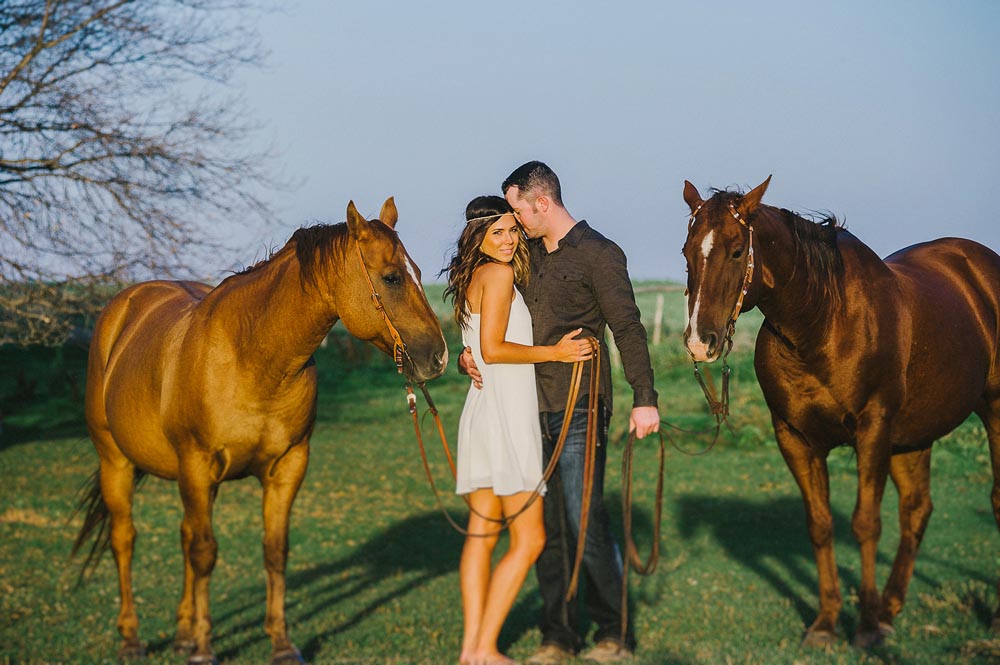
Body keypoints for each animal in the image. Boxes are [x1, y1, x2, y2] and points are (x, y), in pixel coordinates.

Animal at [71, 198, 446, 664]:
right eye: (392, 277)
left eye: (418, 271)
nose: (438, 356)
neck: (251, 356)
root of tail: (122, 309)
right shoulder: (197, 465)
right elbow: (205, 553)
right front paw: (204, 648)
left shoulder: (287, 467)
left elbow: (273, 551)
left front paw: (280, 643)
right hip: (117, 462)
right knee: (125, 540)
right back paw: (132, 639)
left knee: (184, 536)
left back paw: (181, 633)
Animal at [680, 176, 1000, 648]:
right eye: (687, 251)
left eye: (737, 251)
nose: (700, 342)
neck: (822, 322)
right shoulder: (795, 438)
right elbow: (820, 524)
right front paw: (826, 623)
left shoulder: (873, 431)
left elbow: (866, 523)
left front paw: (865, 628)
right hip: (913, 436)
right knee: (917, 509)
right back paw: (890, 608)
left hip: (991, 411)